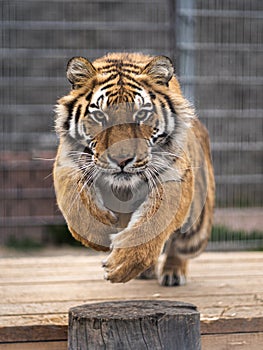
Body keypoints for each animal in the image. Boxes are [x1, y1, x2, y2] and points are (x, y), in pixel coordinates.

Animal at [53, 52, 214, 288]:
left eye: (142, 115)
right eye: (99, 116)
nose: (122, 160)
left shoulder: (174, 174)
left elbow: (155, 221)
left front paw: (122, 264)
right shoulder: (67, 161)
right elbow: (75, 206)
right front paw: (101, 233)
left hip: (195, 231)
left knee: (180, 246)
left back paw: (173, 273)